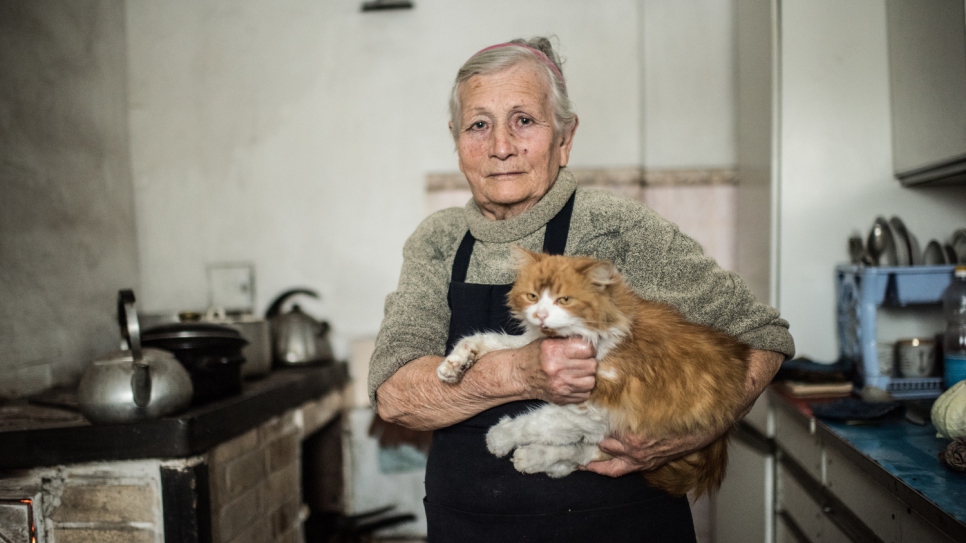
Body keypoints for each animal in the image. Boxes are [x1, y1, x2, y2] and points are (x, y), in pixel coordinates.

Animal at [434, 246, 752, 498]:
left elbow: (536, 421)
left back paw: (533, 457)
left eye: (564, 300)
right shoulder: (533, 347)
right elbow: (486, 341)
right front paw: (455, 364)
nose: (540, 315)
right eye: (533, 296)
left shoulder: (604, 408)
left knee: (582, 451)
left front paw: (501, 437)